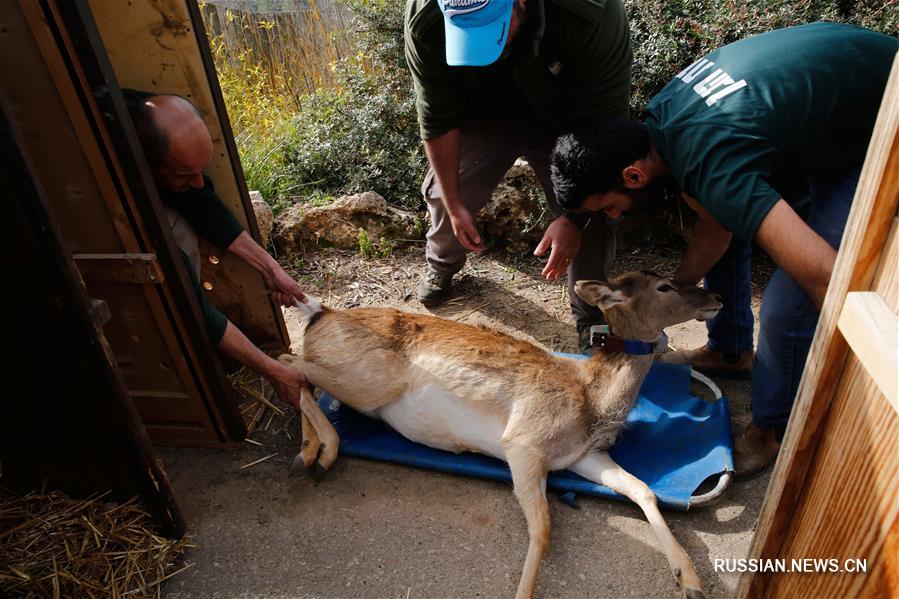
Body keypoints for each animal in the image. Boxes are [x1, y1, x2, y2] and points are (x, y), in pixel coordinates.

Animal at [282, 274, 724, 599]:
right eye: (664, 285)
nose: (715, 295)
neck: (593, 402)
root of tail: (321, 312)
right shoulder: (524, 442)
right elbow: (543, 529)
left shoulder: (584, 456)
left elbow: (643, 489)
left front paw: (691, 581)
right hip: (369, 381)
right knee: (292, 362)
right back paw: (322, 453)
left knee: (296, 368)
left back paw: (308, 450)